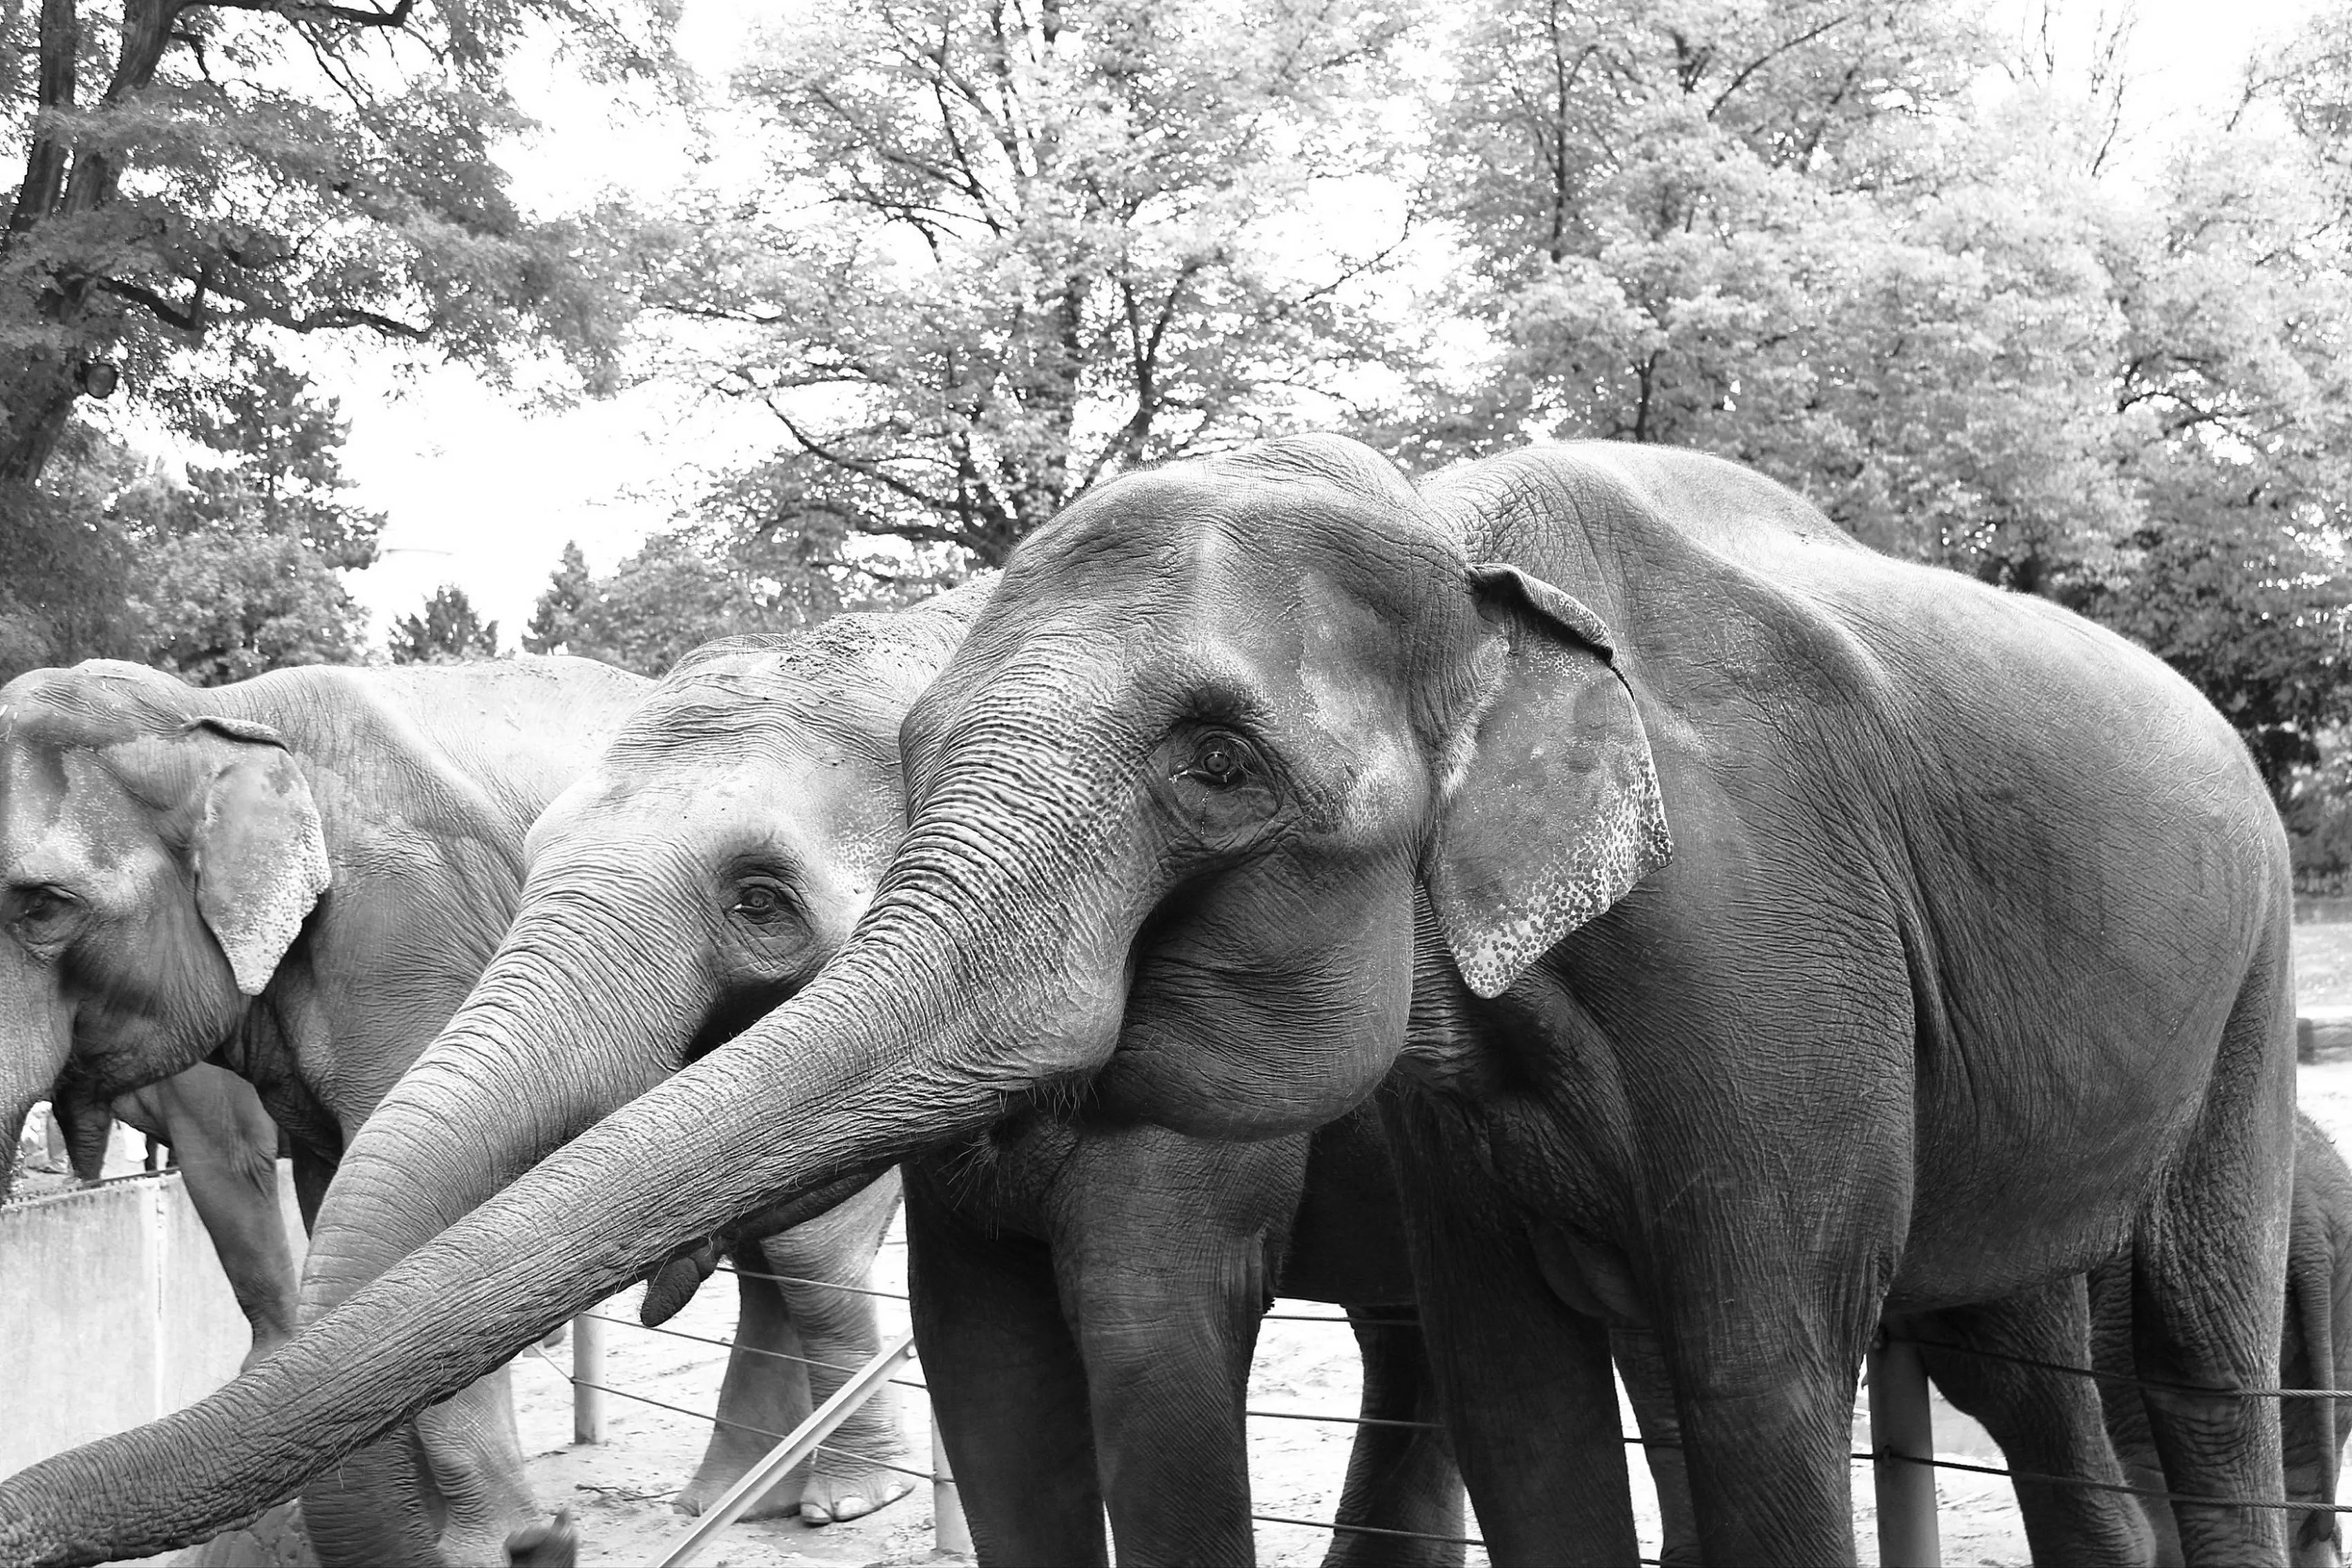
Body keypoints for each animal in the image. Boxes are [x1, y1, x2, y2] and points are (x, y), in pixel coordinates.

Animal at [0, 439, 2286, 1568]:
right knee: (2013, 1367)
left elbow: (1179, 1357)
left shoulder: (1761, 952)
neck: (1449, 539)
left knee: (2182, 1355)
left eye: (1216, 764)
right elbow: (1025, 1375)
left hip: (2259, 965)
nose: (544, 1555)